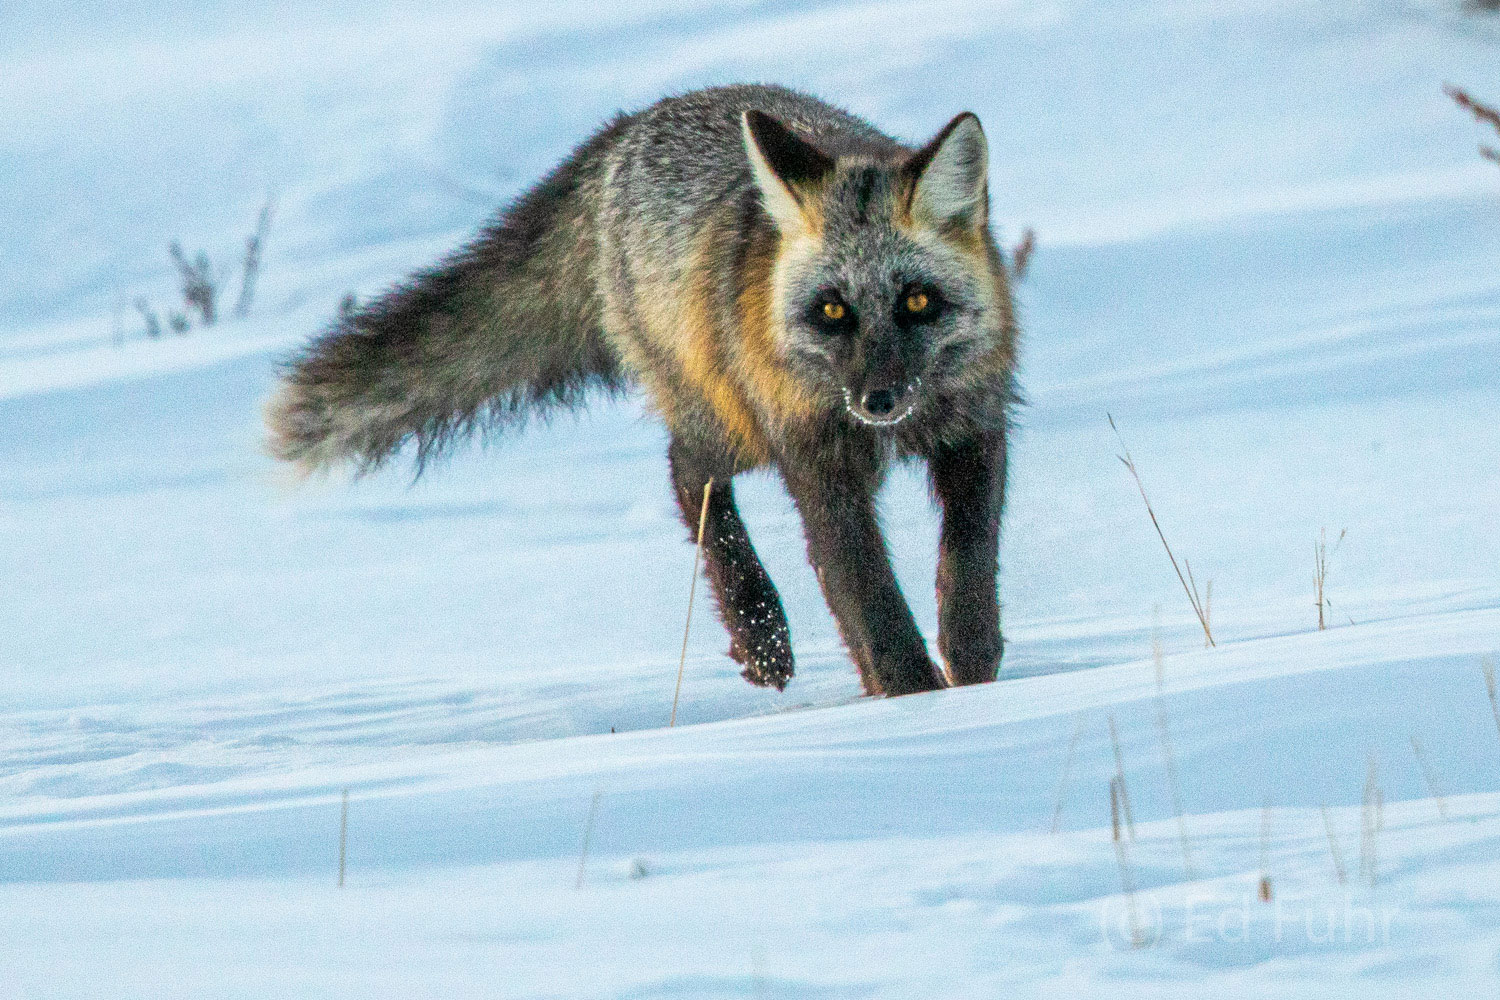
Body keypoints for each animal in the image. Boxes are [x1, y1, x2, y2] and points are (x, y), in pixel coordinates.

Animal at [270, 83, 1020, 695]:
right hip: (732, 425)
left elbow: (968, 563)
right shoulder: (817, 464)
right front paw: (915, 698)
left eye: (918, 301)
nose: (877, 402)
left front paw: (974, 676)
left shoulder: (974, 431)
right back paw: (759, 634)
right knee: (687, 476)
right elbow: (867, 596)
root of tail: (633, 123)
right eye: (833, 311)